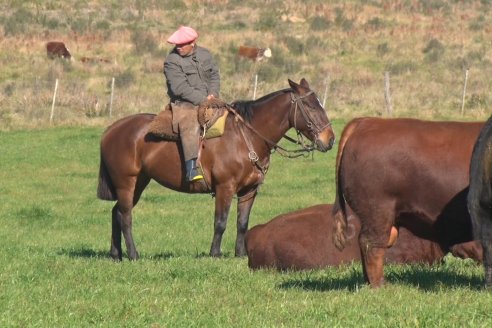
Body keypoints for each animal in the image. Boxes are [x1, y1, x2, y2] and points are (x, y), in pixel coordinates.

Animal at [97, 78, 334, 260]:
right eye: (311, 106)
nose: (329, 140)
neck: (246, 137)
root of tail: (111, 129)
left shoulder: (249, 191)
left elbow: (242, 222)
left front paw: (241, 254)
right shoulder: (225, 188)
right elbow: (220, 222)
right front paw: (215, 253)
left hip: (139, 182)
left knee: (116, 212)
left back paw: (116, 254)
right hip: (126, 183)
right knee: (125, 216)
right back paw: (133, 254)